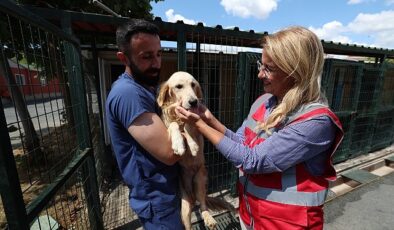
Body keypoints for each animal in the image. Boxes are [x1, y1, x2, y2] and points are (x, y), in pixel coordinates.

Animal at [157, 71, 231, 230]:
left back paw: (209, 219)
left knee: (203, 205)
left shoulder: (196, 125)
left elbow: (190, 124)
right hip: (184, 208)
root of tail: (192, 196)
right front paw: (179, 145)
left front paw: (193, 146)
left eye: (193, 84)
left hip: (200, 180)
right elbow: (173, 125)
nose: (194, 102)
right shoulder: (166, 125)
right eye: (179, 86)